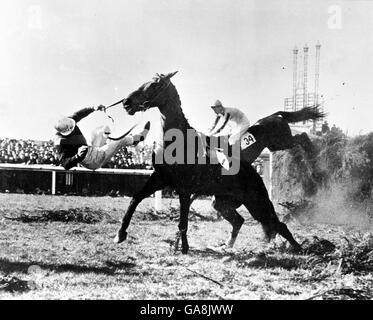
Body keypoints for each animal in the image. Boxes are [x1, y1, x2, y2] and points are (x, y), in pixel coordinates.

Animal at [112, 72, 322, 252]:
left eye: (155, 84)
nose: (127, 102)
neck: (176, 141)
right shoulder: (160, 178)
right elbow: (135, 198)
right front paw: (120, 234)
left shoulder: (185, 188)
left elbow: (183, 220)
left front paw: (183, 247)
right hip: (223, 202)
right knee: (241, 221)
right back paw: (228, 245)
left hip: (258, 198)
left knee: (279, 224)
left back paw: (302, 249)